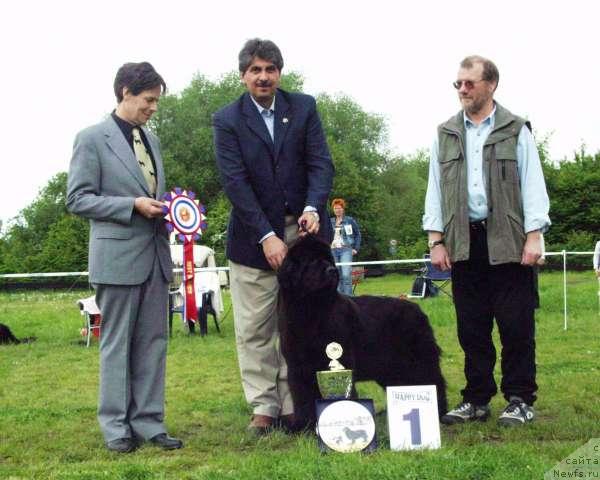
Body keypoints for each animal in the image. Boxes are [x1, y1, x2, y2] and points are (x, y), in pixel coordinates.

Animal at [276, 234, 446, 430]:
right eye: (311, 261)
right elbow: (302, 396)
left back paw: (438, 413)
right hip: (391, 367)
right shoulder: (298, 367)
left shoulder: (341, 360)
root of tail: (418, 309)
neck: (311, 311)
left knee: (433, 380)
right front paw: (303, 425)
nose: (332, 270)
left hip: (417, 358)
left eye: (328, 260)